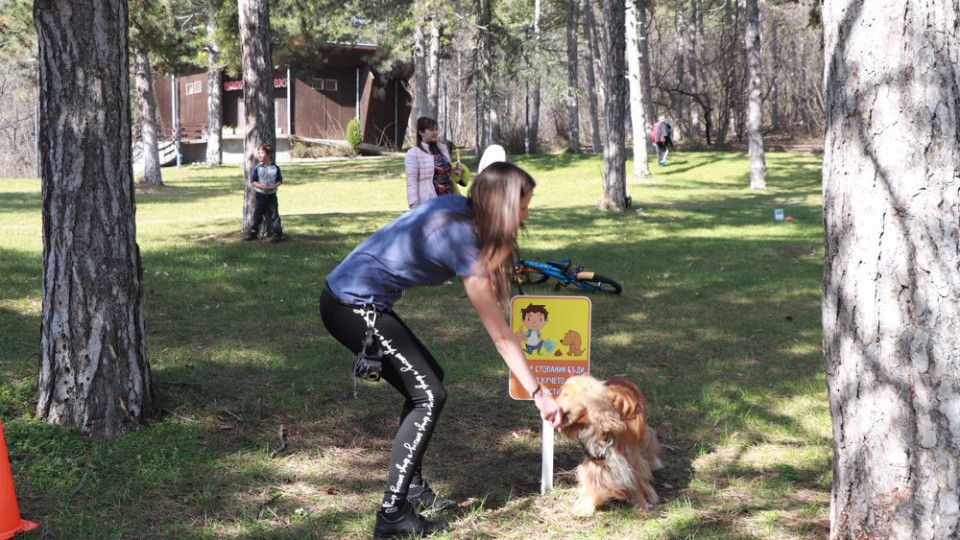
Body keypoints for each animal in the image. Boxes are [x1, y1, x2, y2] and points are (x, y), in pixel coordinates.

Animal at [556, 376, 660, 516]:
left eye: (565, 394)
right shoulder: (596, 454)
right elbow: (593, 479)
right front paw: (585, 504)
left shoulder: (632, 455)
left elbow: (637, 480)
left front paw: (641, 502)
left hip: (644, 438)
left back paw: (650, 491)